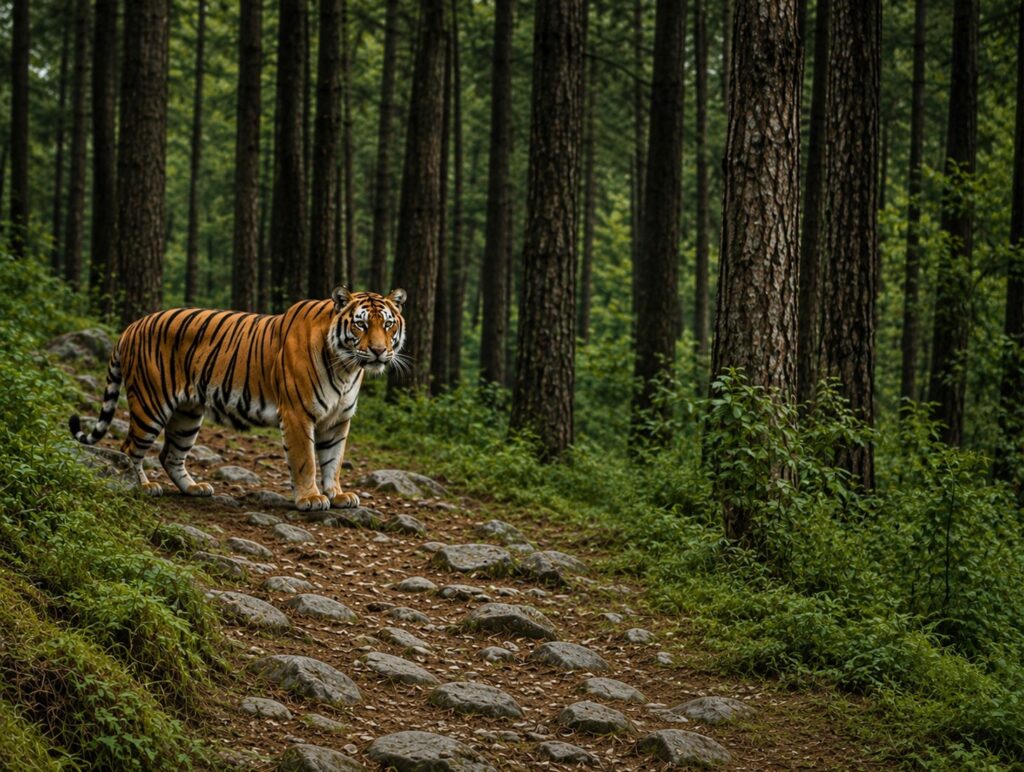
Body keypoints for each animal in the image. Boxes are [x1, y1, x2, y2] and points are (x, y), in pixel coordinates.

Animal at [70, 287, 406, 512]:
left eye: (388, 324)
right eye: (361, 324)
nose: (379, 351)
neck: (347, 367)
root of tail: (132, 326)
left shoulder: (338, 420)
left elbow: (333, 460)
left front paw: (337, 494)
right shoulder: (297, 414)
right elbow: (306, 461)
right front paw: (311, 498)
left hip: (187, 414)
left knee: (170, 454)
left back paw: (194, 488)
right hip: (150, 403)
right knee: (129, 448)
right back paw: (144, 486)